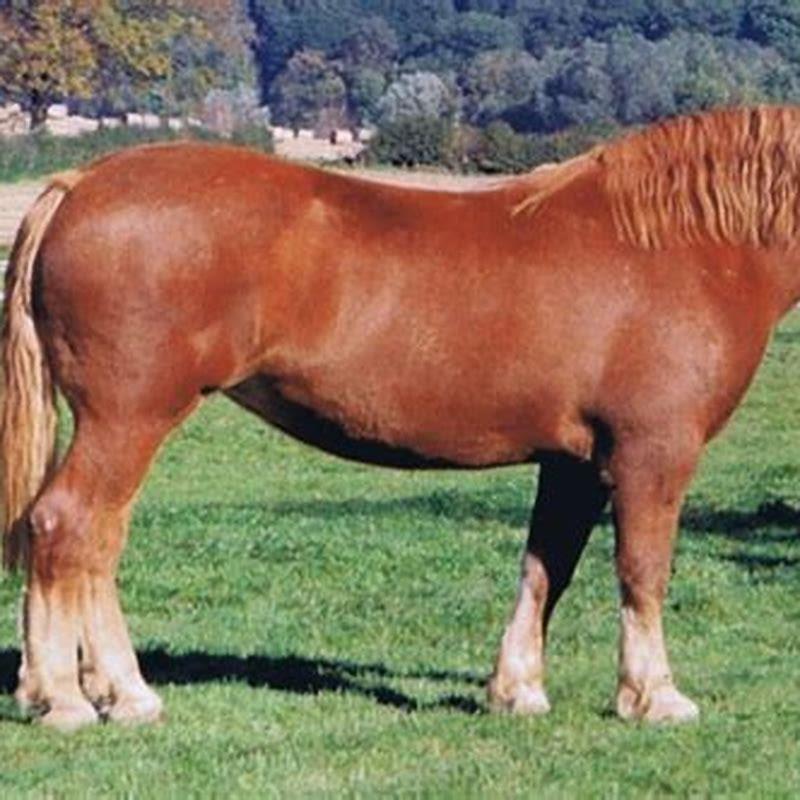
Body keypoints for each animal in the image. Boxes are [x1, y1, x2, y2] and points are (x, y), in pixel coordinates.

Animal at [2, 105, 799, 731]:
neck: (682, 242)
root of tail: (81, 185)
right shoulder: (651, 452)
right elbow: (642, 569)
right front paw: (655, 696)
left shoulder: (573, 462)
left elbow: (547, 567)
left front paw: (516, 690)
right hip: (128, 420)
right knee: (69, 527)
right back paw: (67, 700)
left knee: (98, 540)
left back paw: (114, 694)